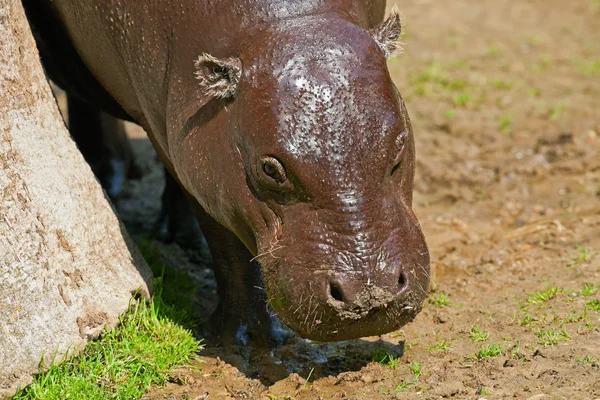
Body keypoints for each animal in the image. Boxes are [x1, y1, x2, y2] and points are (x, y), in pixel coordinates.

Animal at [25, 0, 432, 346]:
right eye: (270, 169)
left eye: (399, 145)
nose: (369, 293)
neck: (290, 24)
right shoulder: (176, 136)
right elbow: (224, 241)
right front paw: (243, 340)